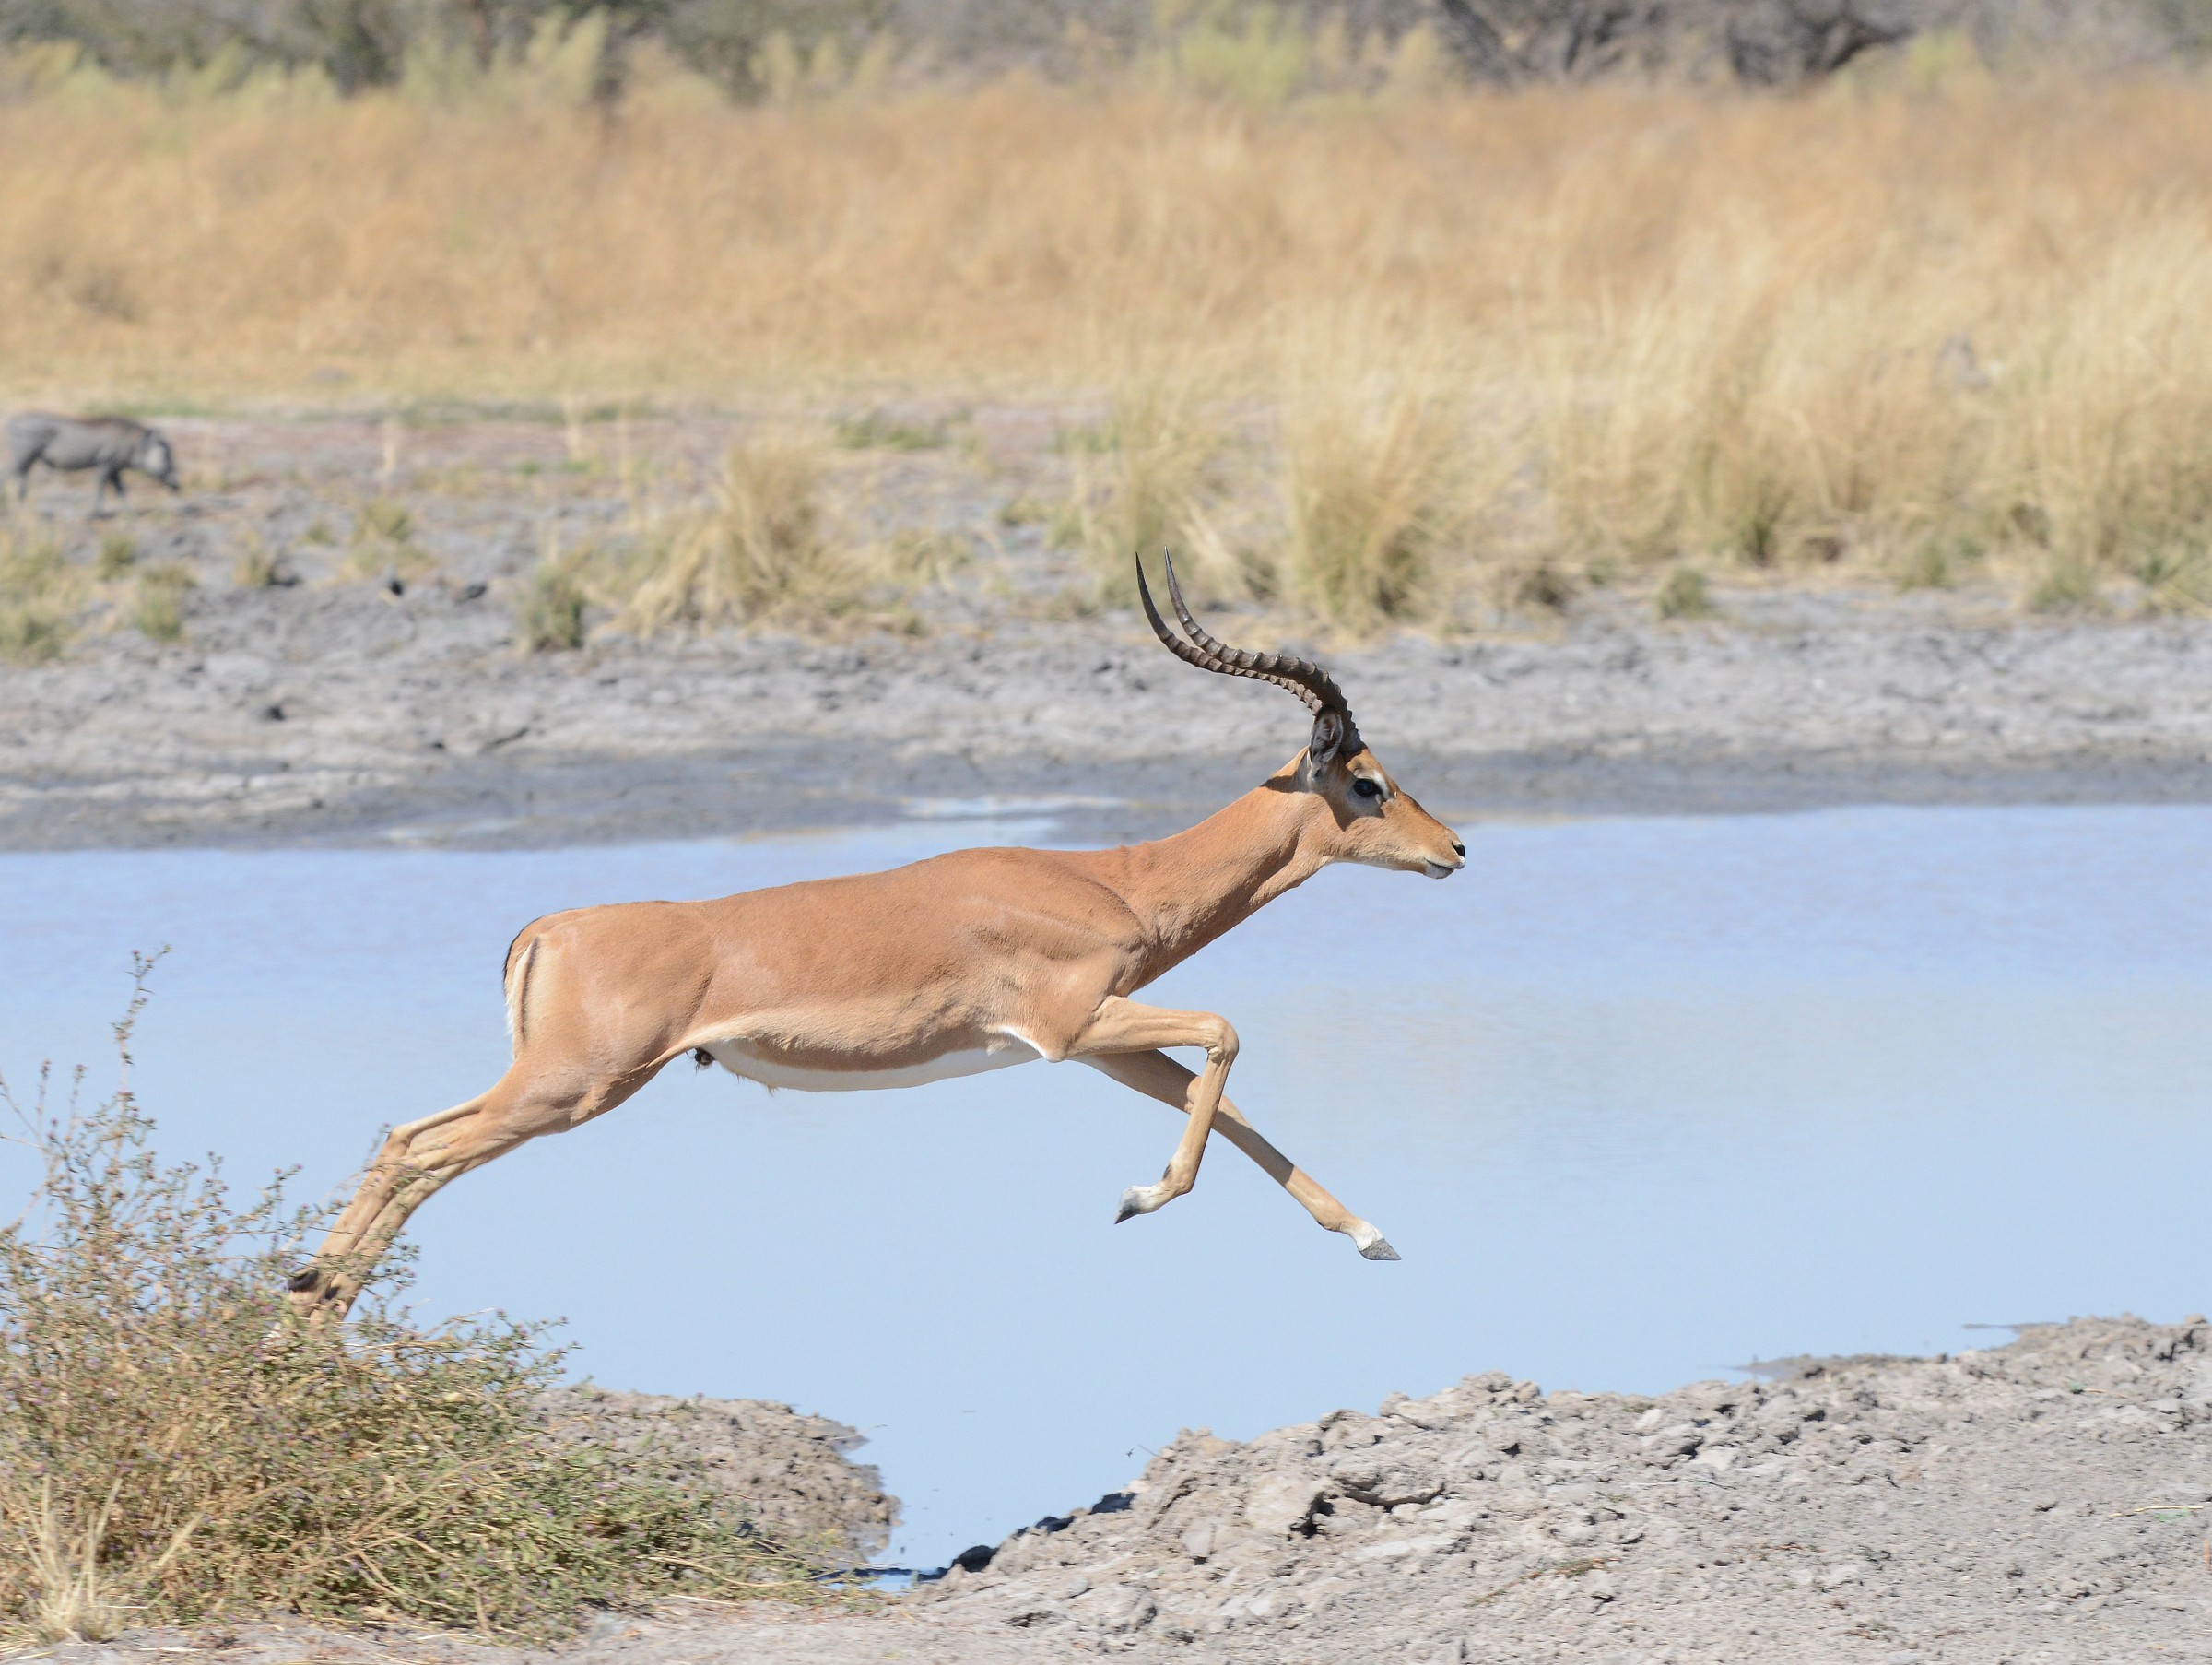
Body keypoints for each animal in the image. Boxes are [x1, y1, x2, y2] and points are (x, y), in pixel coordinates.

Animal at [290, 555, 1466, 1320]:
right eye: (1368, 781)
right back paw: (306, 1314)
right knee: (420, 1150)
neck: (1112, 880)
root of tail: (548, 926)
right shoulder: (1072, 1027)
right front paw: (1136, 1201)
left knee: (407, 1144)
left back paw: (310, 1316)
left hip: (554, 1084)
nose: (1455, 847)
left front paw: (1374, 1237)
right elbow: (1227, 1039)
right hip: (574, 1086)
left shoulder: (1101, 1046)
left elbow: (1234, 1113)